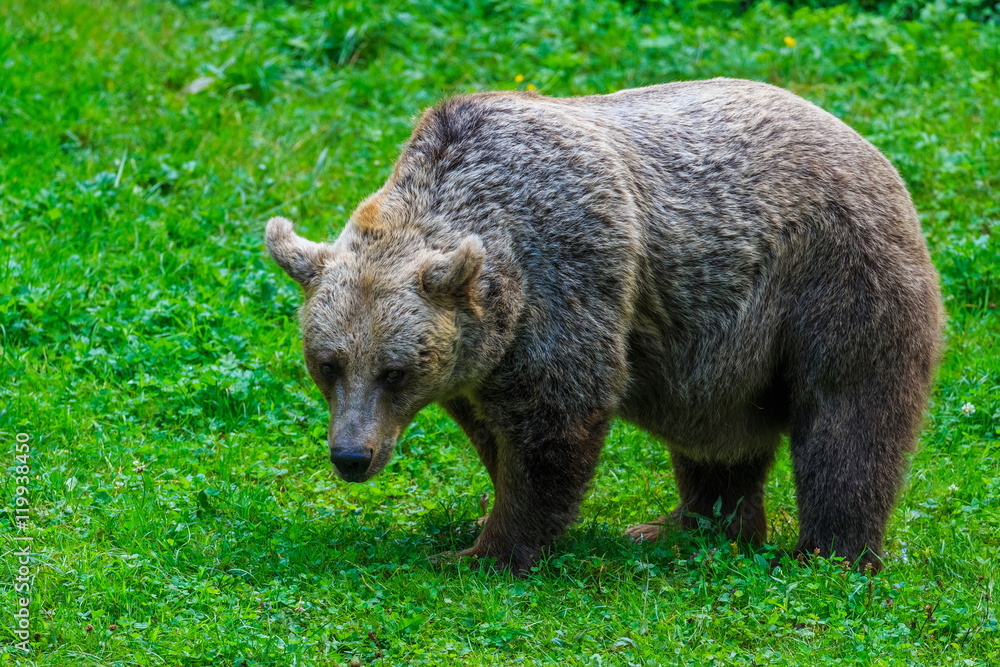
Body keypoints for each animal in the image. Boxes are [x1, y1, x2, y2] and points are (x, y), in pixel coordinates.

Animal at [265, 78, 943, 574]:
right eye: (327, 364)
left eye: (395, 371)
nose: (352, 455)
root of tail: (867, 146)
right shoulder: (481, 359)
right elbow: (495, 431)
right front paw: (488, 510)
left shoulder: (568, 269)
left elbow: (558, 415)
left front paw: (482, 551)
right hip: (724, 355)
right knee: (719, 439)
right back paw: (683, 526)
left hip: (831, 280)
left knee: (848, 420)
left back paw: (827, 554)